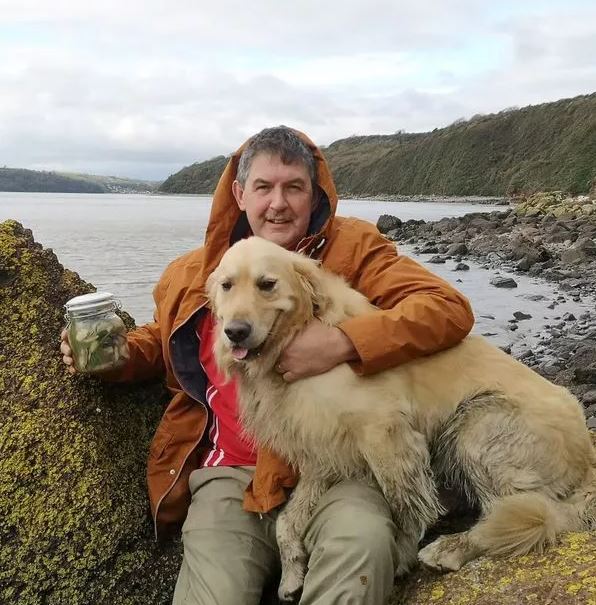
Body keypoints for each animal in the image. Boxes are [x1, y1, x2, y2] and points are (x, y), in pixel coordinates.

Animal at [206, 236, 596, 600]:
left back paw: (452, 547)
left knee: (528, 511)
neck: (293, 338)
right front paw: (291, 574)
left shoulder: (385, 432)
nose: (235, 332)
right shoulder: (320, 449)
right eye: (227, 285)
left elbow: (405, 506)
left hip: (477, 421)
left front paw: (403, 557)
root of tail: (588, 455)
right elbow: (287, 519)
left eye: (267, 284)